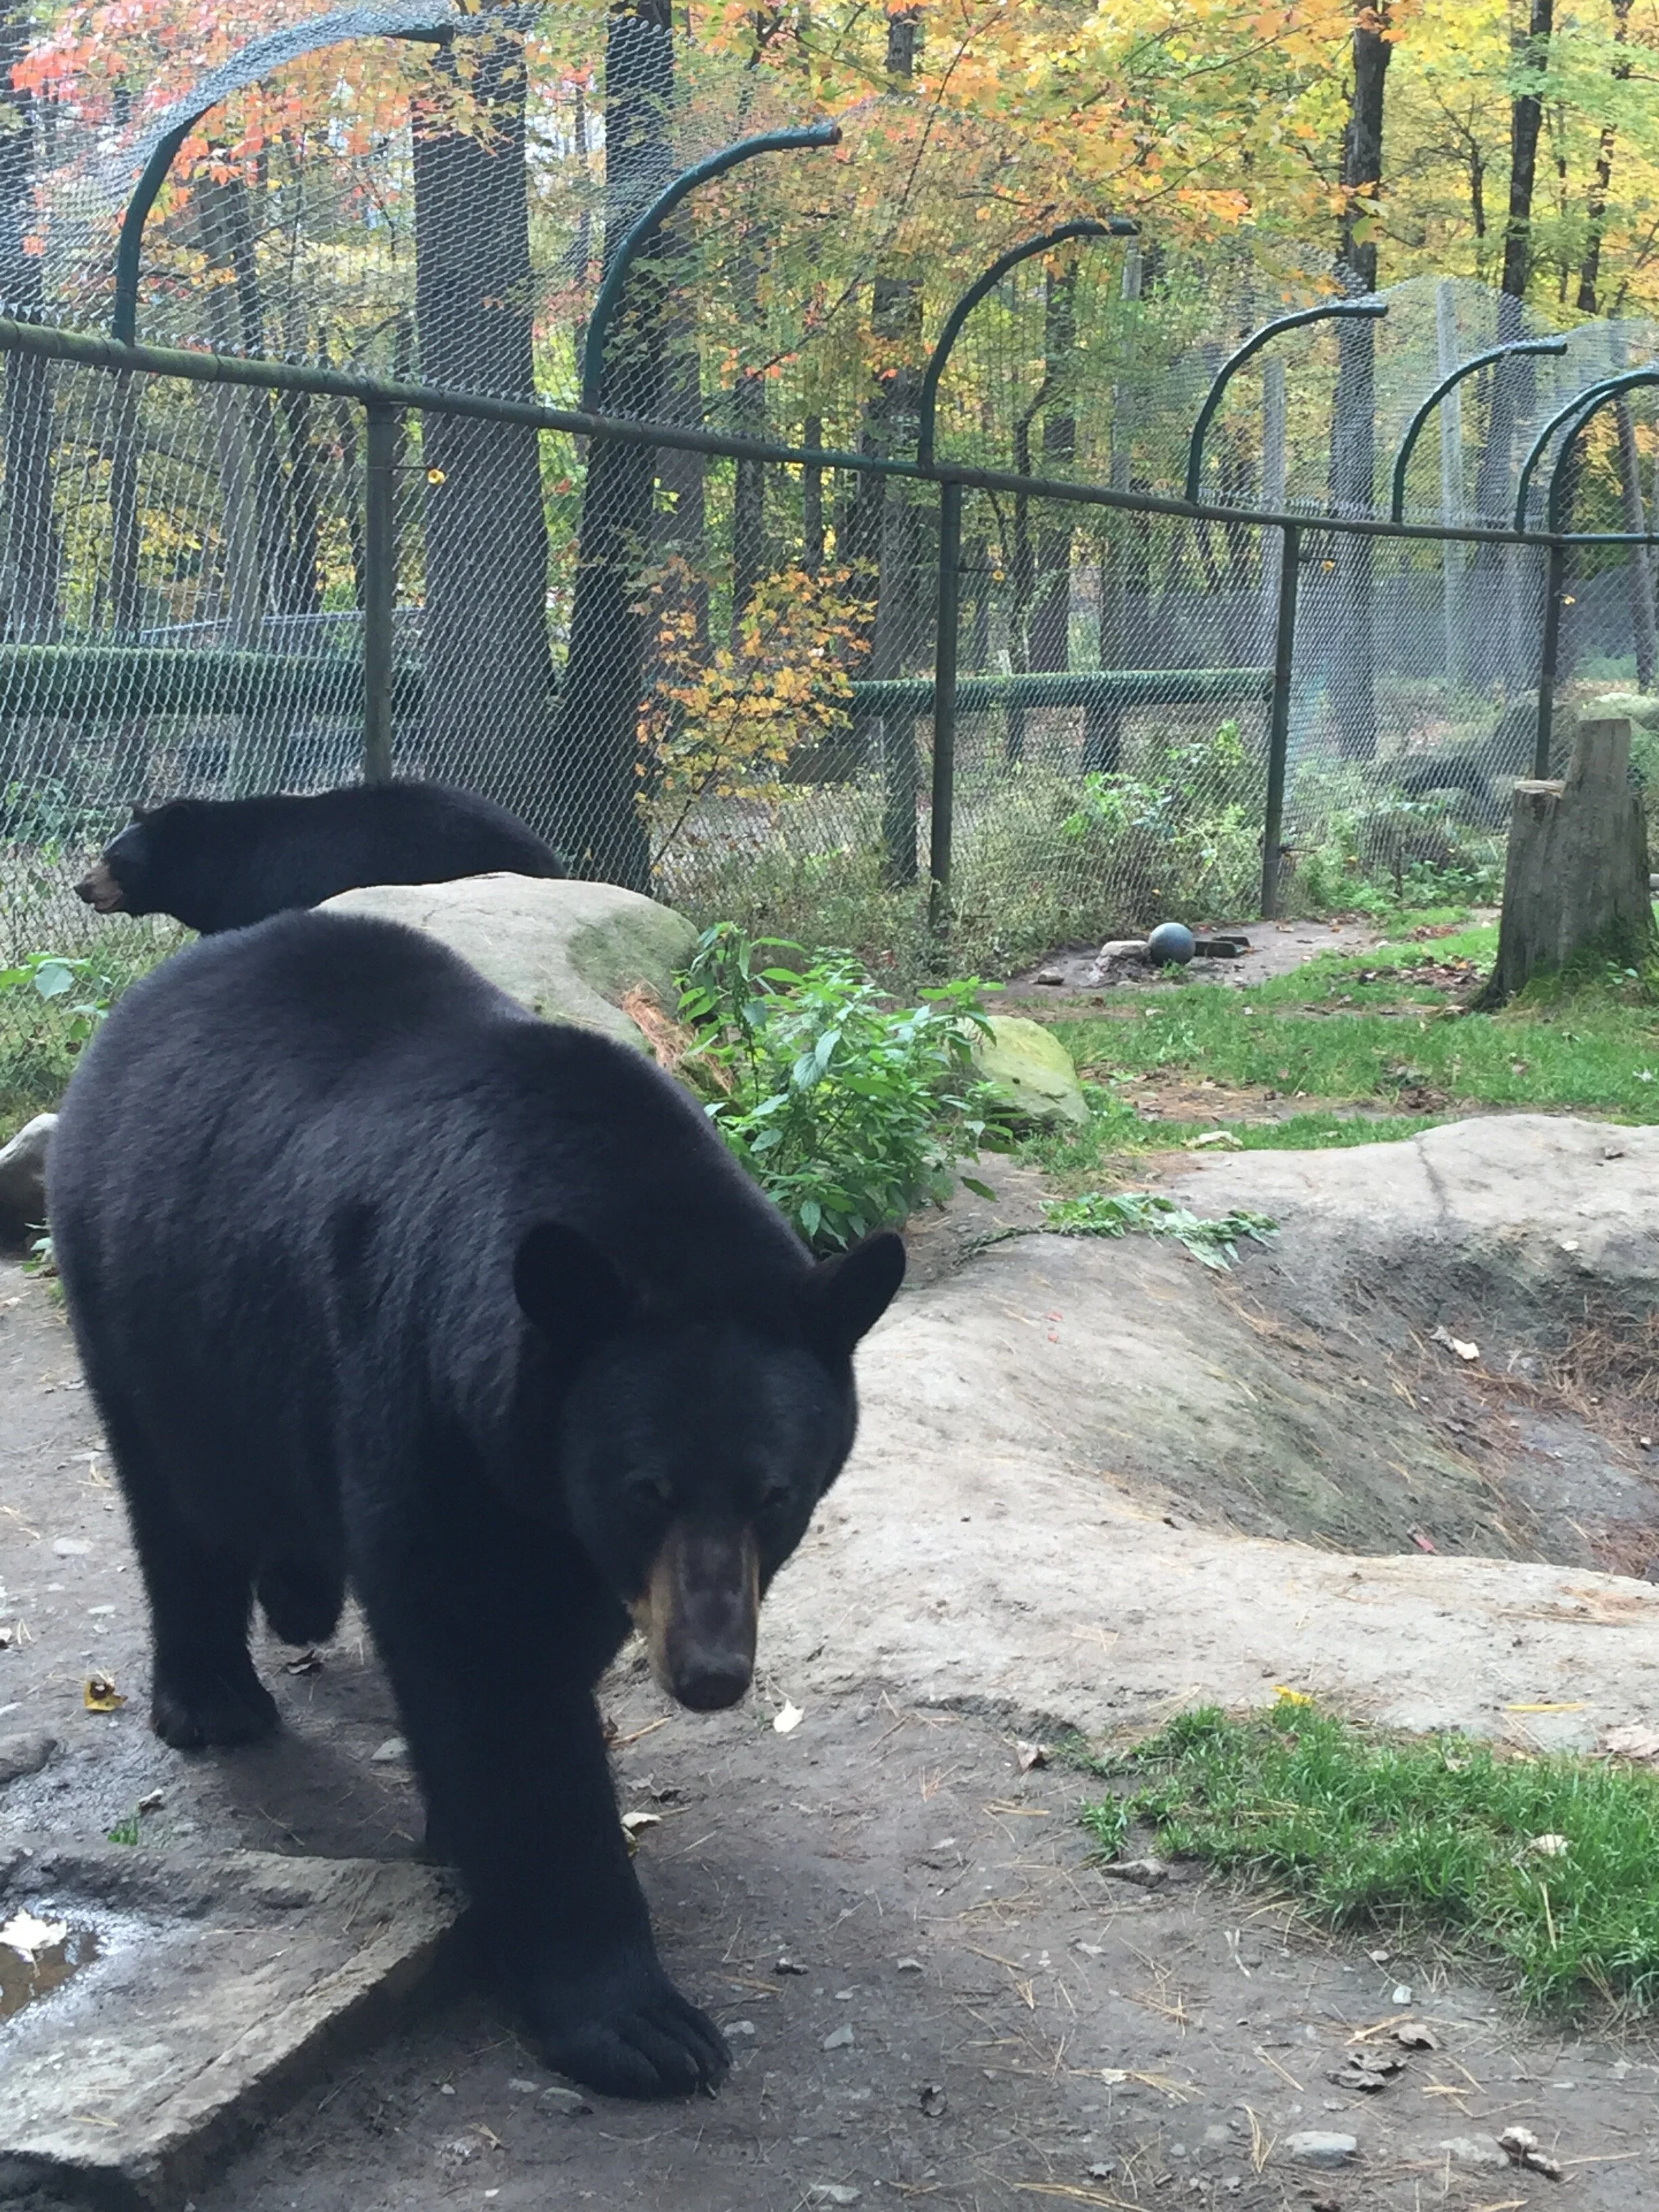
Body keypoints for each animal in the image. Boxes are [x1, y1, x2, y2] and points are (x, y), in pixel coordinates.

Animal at [48, 910, 903, 2099]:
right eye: (647, 1489)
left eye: (776, 1493)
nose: (711, 1676)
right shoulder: (420, 1380)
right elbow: (490, 1666)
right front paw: (637, 2019)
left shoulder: (548, 1492)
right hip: (143, 1296)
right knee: (177, 1500)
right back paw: (214, 1697)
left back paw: (299, 1595)